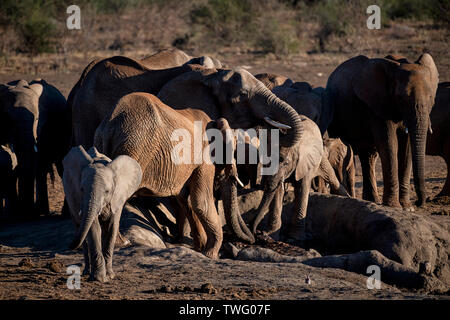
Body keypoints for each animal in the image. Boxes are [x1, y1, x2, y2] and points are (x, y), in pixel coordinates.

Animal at [62, 146, 142, 282]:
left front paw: (109, 275)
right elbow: (94, 229)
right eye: (82, 189)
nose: (69, 245)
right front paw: (99, 278)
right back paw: (86, 272)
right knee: (81, 232)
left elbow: (111, 228)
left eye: (107, 191)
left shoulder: (117, 197)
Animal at [324, 53, 440, 209]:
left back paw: (372, 200)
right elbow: (390, 143)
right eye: (401, 98)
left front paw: (407, 208)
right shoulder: (377, 106)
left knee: (369, 156)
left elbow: (406, 147)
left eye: (431, 98)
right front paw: (395, 206)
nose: (419, 203)